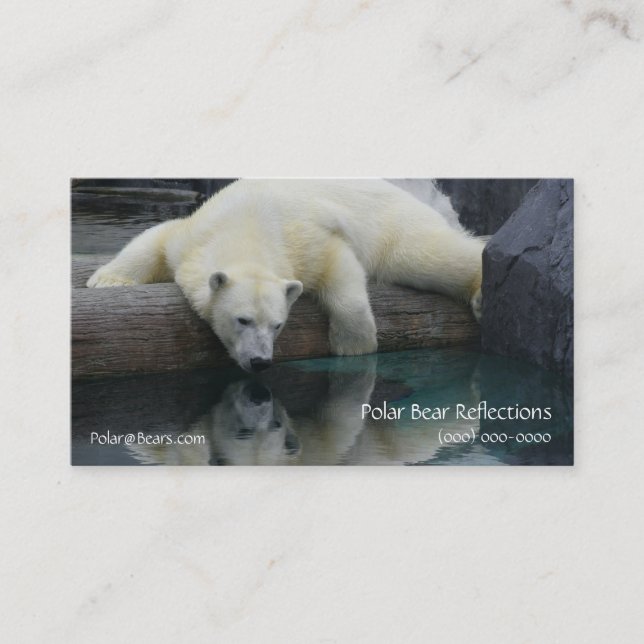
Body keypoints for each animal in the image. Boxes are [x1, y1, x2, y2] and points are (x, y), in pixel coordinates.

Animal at [87, 179, 484, 372]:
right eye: (242, 320)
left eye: (278, 325)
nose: (260, 361)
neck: (246, 225)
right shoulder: (194, 235)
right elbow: (154, 238)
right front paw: (105, 281)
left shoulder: (304, 237)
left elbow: (338, 263)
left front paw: (353, 344)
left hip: (395, 225)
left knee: (427, 255)